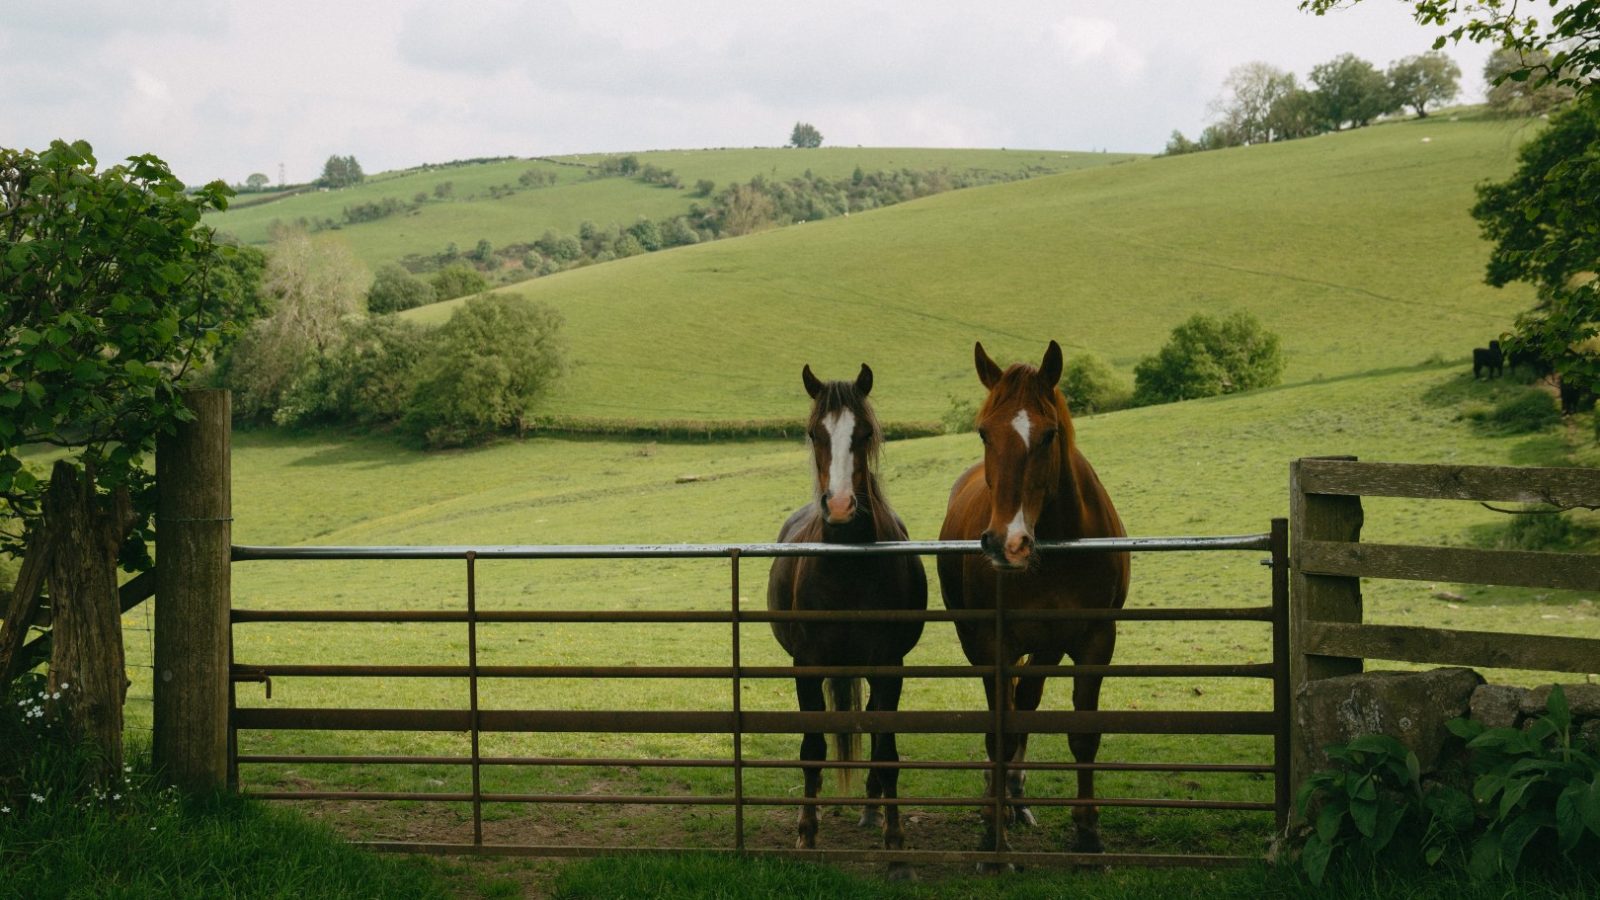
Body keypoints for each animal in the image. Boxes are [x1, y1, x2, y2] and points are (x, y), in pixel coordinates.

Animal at [768, 360, 934, 871]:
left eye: (865, 433)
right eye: (813, 432)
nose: (839, 506)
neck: (845, 564)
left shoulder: (889, 667)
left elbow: (886, 753)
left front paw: (896, 844)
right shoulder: (806, 665)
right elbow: (812, 749)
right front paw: (806, 833)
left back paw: (871, 811)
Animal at [934, 337, 1132, 851]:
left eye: (1048, 435)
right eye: (984, 433)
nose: (1009, 542)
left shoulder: (1096, 641)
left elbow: (1083, 735)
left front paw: (1088, 833)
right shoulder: (993, 644)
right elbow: (998, 731)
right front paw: (992, 833)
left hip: (1046, 647)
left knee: (1025, 701)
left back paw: (1017, 799)